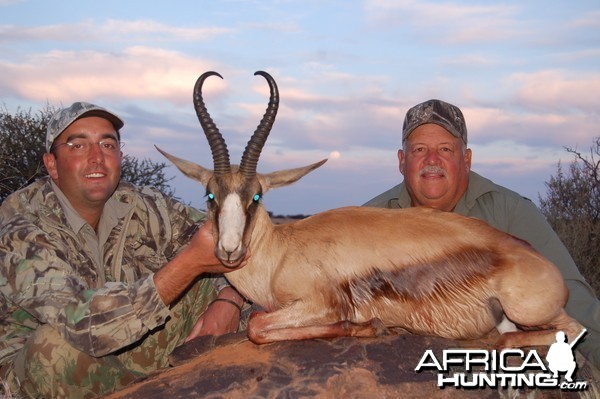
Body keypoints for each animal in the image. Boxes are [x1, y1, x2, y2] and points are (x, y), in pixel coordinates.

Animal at [157, 70, 584, 348]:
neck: (281, 253)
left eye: (257, 196)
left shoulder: (316, 303)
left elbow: (257, 327)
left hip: (529, 311)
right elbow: (257, 325)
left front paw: (372, 327)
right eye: (211, 196)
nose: (229, 250)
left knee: (561, 332)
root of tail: (531, 256)